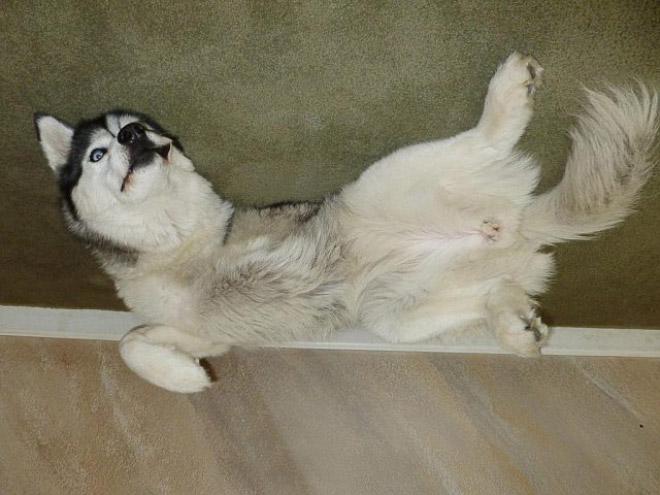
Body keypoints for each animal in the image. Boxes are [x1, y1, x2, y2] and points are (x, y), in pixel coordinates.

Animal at [37, 54, 660, 394]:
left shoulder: (240, 227)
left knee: (483, 138)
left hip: (379, 183)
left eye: (136, 127)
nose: (134, 136)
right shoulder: (204, 334)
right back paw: (513, 322)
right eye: (97, 153)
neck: (171, 245)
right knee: (494, 293)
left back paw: (506, 94)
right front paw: (184, 375)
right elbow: (133, 343)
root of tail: (518, 224)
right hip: (391, 316)